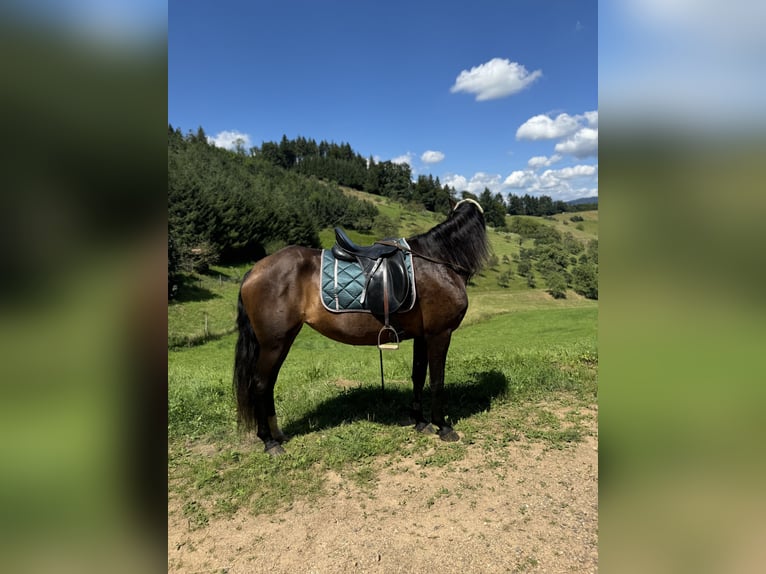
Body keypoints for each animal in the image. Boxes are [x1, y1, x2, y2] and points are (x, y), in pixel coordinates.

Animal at [231, 200, 492, 456]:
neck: (436, 261)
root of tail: (254, 270)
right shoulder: (440, 334)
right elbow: (437, 380)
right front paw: (443, 426)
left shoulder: (423, 336)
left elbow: (418, 376)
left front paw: (420, 422)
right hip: (273, 343)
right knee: (260, 384)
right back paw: (269, 441)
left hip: (281, 342)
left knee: (268, 385)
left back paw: (277, 434)